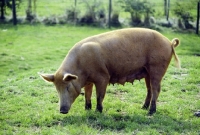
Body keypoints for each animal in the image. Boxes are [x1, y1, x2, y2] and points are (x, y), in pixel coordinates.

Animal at [40, 28, 180, 114]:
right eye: (57, 89)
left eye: (68, 87)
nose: (62, 111)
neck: (80, 70)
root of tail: (169, 42)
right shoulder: (89, 81)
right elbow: (87, 94)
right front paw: (87, 109)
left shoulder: (103, 77)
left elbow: (99, 95)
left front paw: (98, 111)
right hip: (147, 72)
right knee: (149, 89)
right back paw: (143, 108)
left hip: (157, 67)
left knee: (156, 89)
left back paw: (151, 112)